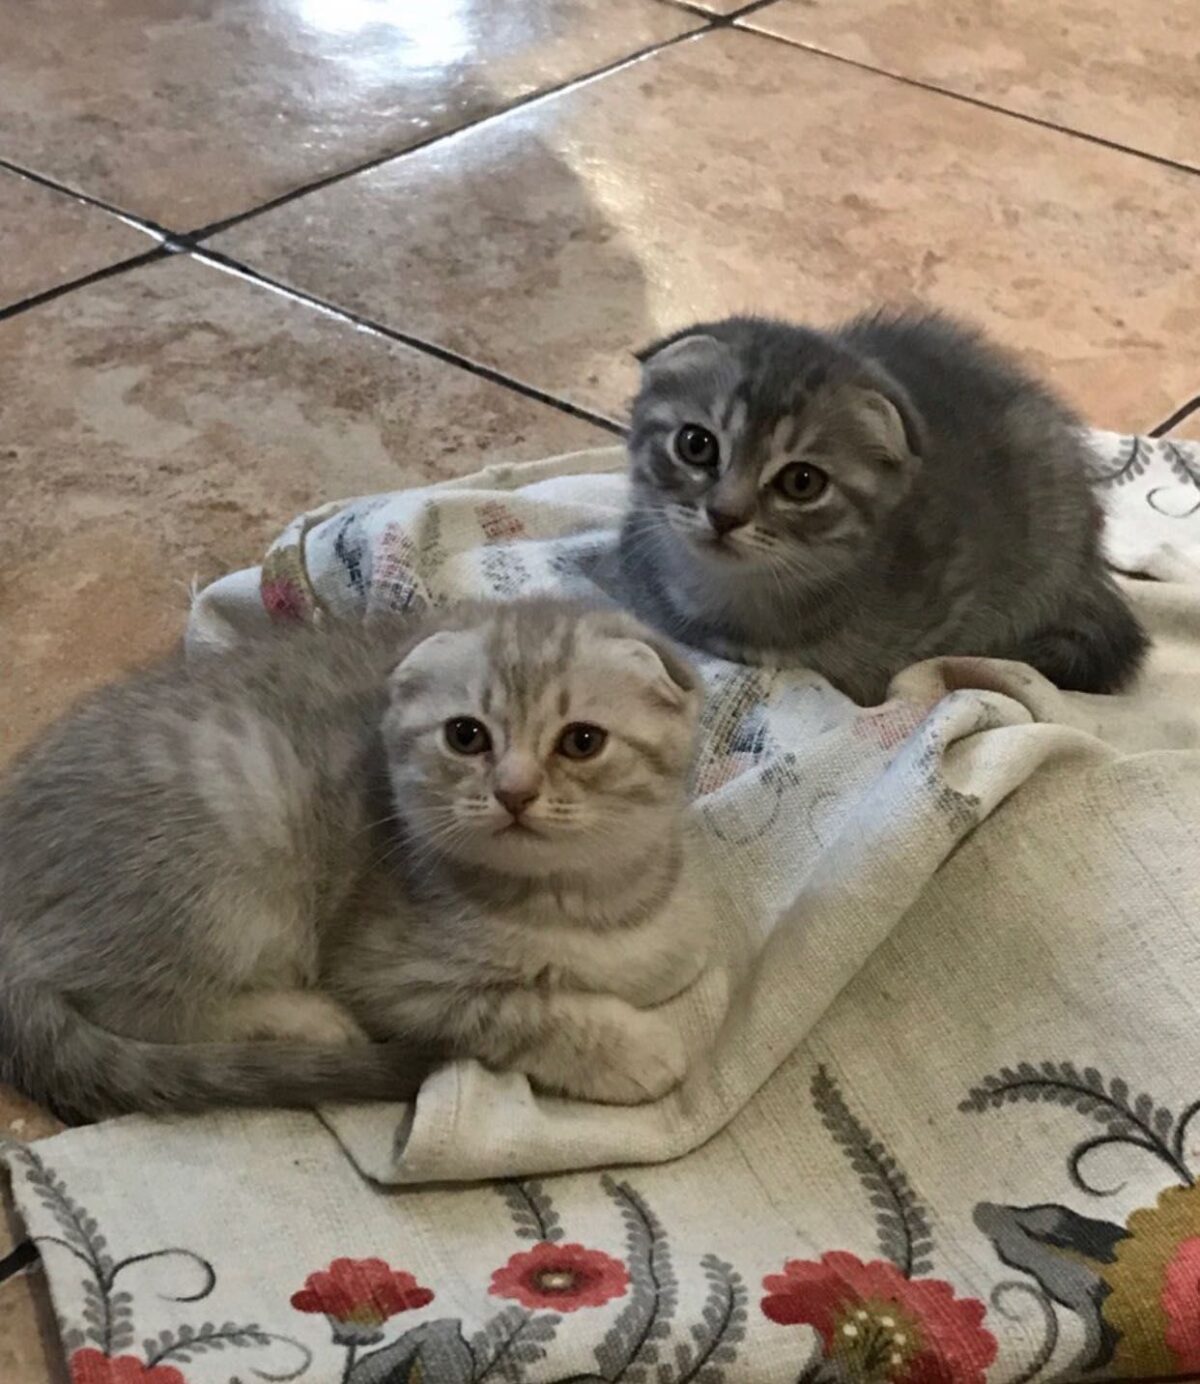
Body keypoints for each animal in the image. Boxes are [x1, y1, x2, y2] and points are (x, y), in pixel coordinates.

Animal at [0, 599, 710, 1119]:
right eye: (466, 735)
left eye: (582, 741)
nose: (513, 792)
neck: (577, 900)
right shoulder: (390, 974)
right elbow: (517, 1009)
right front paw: (629, 1050)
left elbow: (670, 959)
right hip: (228, 856)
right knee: (135, 1002)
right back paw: (302, 1018)